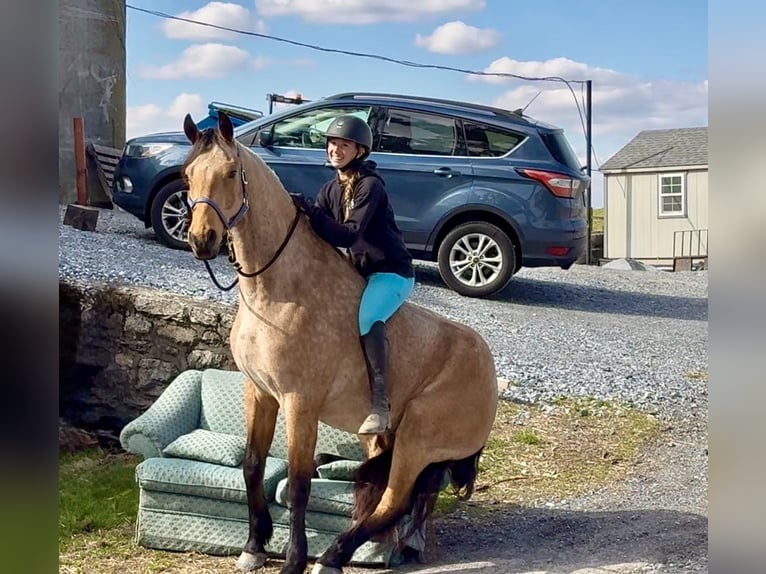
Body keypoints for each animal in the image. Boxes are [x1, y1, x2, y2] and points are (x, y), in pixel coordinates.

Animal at [181, 111, 499, 574]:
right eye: (187, 175)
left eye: (229, 172)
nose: (201, 240)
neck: (276, 289)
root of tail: (489, 371)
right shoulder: (260, 393)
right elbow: (253, 465)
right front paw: (254, 545)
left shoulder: (300, 404)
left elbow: (298, 485)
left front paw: (293, 561)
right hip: (389, 440)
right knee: (403, 501)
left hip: (418, 440)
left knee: (393, 501)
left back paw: (330, 556)